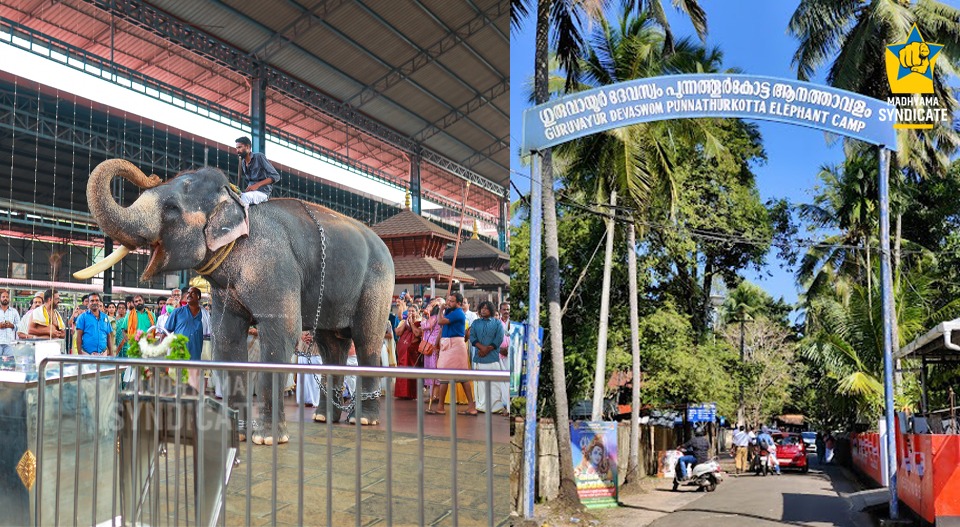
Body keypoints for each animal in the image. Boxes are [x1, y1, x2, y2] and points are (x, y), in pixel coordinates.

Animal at [75, 160, 398, 446]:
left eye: (171, 209)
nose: (152, 175)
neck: (235, 200)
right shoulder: (225, 292)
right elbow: (227, 338)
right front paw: (239, 435)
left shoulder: (273, 266)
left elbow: (280, 333)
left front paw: (266, 438)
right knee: (331, 344)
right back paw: (324, 418)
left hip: (378, 282)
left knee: (367, 340)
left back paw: (363, 419)